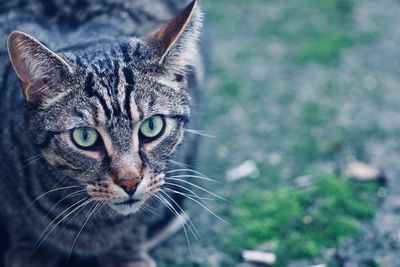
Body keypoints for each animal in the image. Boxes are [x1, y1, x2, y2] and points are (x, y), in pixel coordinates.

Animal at [0, 0, 205, 267]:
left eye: (152, 126)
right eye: (85, 137)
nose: (130, 181)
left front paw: (127, 254)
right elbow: (19, 222)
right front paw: (31, 252)